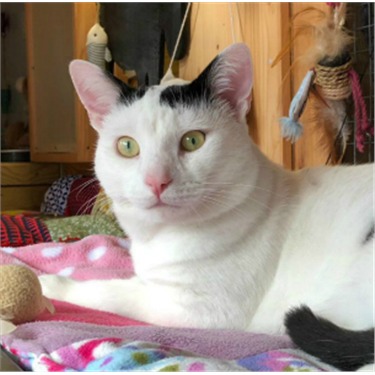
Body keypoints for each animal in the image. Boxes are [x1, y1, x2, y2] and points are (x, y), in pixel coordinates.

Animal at [39, 43, 375, 370]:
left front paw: (52, 284)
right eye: (127, 146)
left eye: (193, 141)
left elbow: (111, 290)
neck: (162, 237)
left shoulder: (198, 309)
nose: (156, 180)